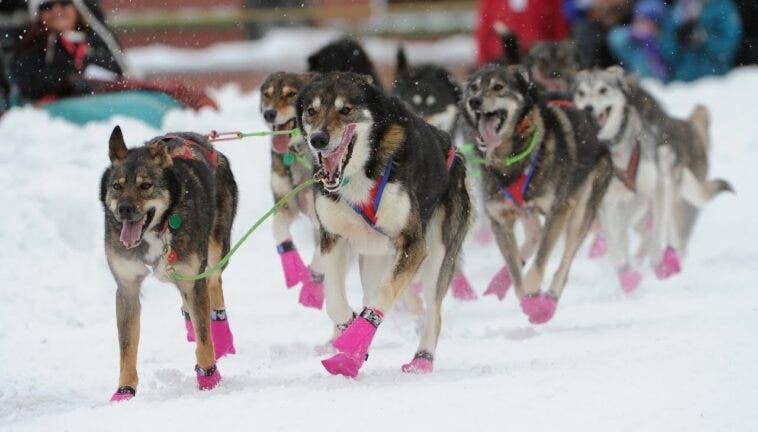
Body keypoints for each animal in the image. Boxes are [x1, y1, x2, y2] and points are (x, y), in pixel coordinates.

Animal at [101, 125, 238, 402]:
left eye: (146, 185)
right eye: (117, 186)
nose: (124, 209)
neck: (157, 229)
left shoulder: (194, 278)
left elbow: (205, 338)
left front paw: (209, 381)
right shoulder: (127, 288)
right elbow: (127, 346)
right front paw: (125, 391)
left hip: (214, 253)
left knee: (213, 286)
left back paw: (222, 339)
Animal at [260, 71, 326, 308]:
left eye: (290, 94)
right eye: (268, 95)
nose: (269, 113)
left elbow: (320, 258)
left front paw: (312, 286)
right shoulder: (284, 204)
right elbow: (279, 231)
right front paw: (294, 269)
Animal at [464, 64, 616, 324]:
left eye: (498, 87)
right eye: (473, 87)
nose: (475, 101)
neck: (510, 158)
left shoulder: (558, 210)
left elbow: (541, 260)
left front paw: (534, 296)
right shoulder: (499, 219)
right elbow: (515, 269)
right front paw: (522, 292)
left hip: (579, 211)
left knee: (564, 261)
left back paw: (550, 299)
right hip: (527, 210)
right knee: (533, 236)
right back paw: (500, 281)